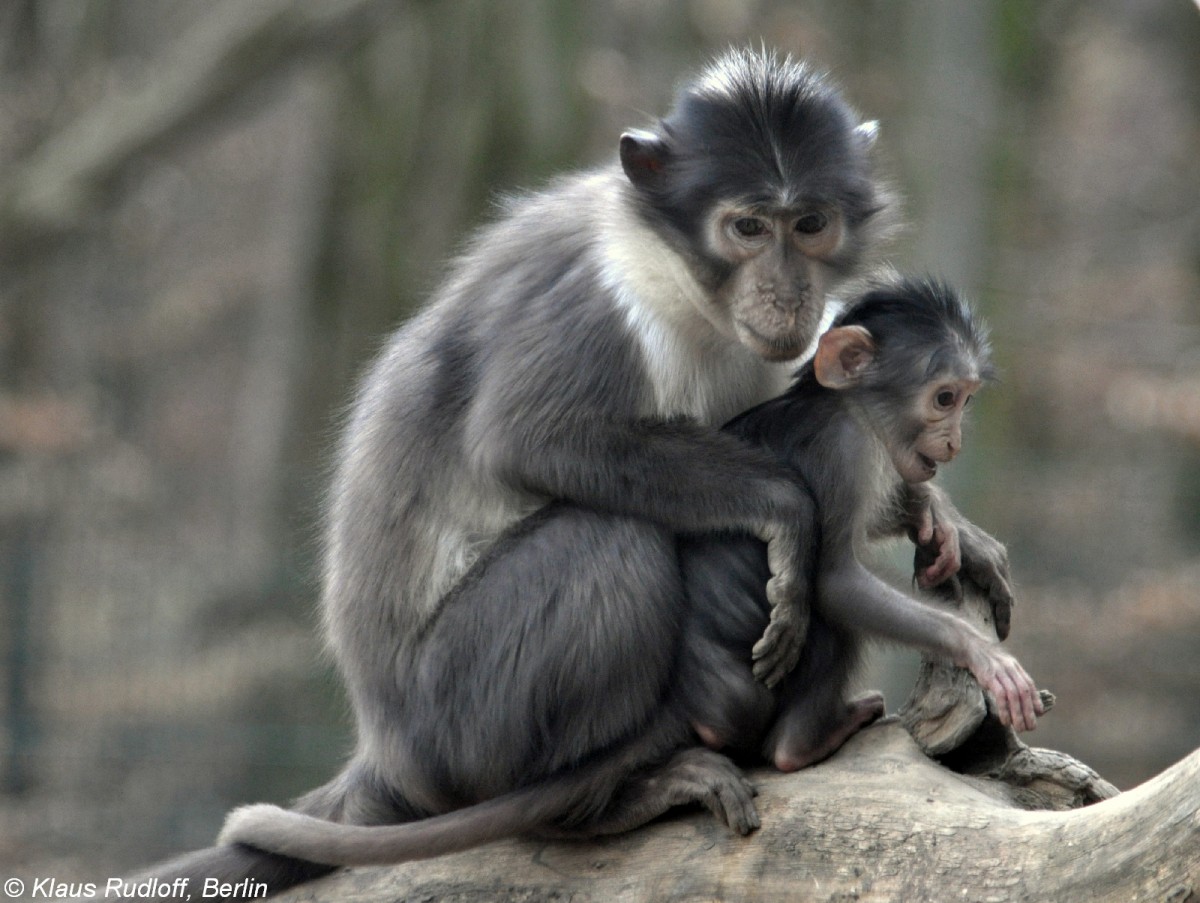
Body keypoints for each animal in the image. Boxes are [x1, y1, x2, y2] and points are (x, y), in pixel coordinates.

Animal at [676, 274, 1041, 768]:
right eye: (944, 398)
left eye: (965, 400)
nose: (955, 441)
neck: (851, 410)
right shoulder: (843, 450)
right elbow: (837, 582)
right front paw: (978, 649)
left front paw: (940, 524)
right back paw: (805, 741)